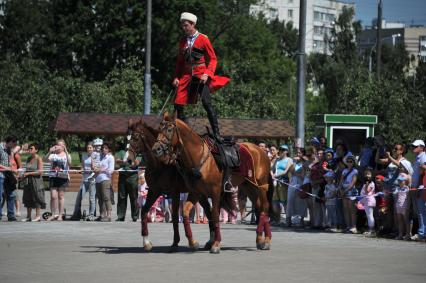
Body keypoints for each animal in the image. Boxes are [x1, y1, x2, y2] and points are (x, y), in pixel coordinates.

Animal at [125, 119, 213, 253]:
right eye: (127, 137)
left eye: (135, 137)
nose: (128, 160)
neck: (160, 164)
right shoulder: (154, 191)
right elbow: (144, 211)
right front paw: (146, 242)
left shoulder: (174, 193)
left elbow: (176, 216)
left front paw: (175, 243)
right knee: (209, 210)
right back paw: (211, 241)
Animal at [152, 112, 272, 254]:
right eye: (159, 129)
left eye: (169, 129)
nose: (156, 149)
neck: (199, 158)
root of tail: (261, 151)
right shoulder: (196, 193)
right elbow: (186, 212)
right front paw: (193, 242)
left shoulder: (215, 192)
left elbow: (214, 214)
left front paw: (216, 243)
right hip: (249, 187)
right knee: (259, 207)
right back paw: (259, 239)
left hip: (261, 187)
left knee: (265, 207)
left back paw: (267, 240)